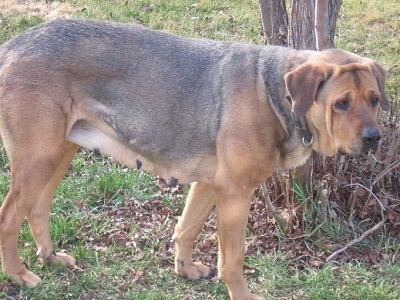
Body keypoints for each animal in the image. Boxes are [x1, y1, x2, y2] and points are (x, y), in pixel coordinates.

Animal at [0, 19, 390, 300]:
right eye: (341, 103)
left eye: (374, 99)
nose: (374, 138)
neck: (275, 96)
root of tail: (13, 44)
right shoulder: (235, 194)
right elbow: (232, 260)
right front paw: (241, 295)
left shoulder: (209, 185)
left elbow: (185, 229)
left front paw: (184, 270)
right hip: (39, 158)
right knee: (9, 217)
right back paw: (19, 275)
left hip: (58, 153)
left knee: (37, 209)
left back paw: (50, 257)